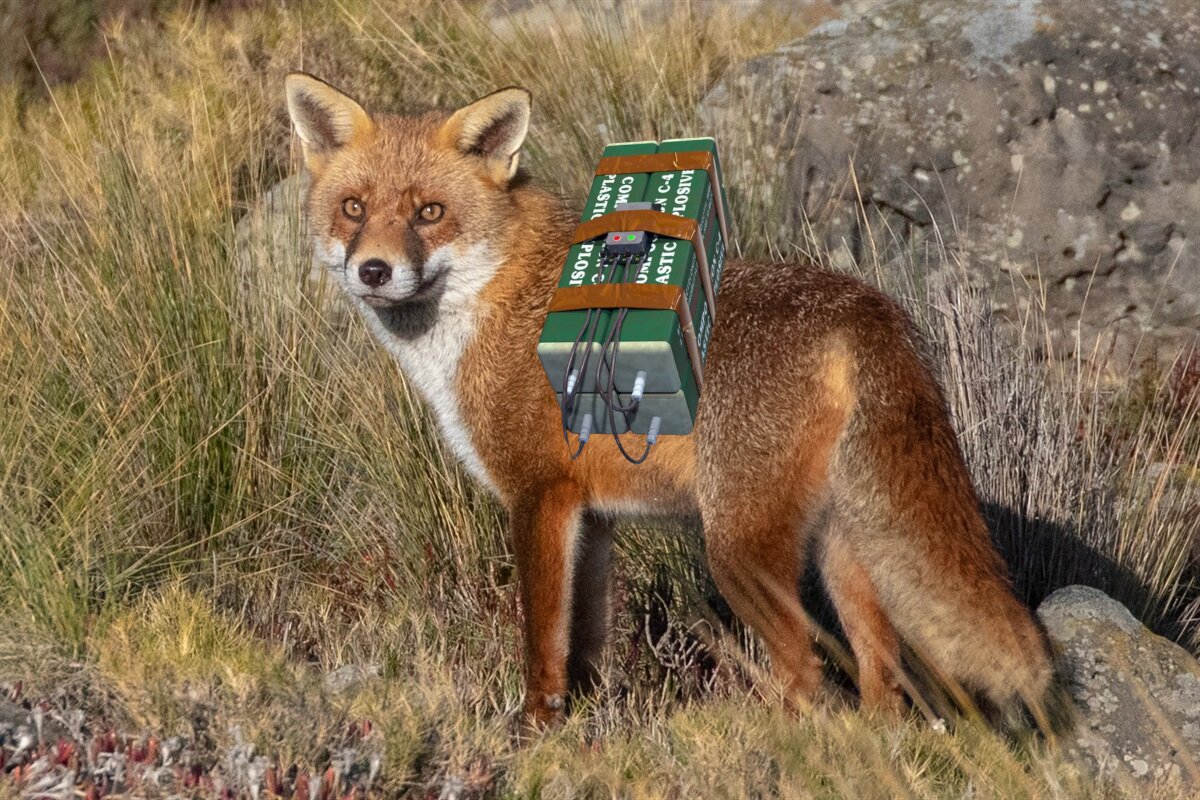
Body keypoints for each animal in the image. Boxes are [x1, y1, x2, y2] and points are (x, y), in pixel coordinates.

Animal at [283, 72, 1055, 728]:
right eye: (353, 208)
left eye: (430, 213)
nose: (373, 270)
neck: (496, 305)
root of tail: (865, 306)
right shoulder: (592, 518)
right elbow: (587, 645)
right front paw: (586, 730)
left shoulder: (538, 494)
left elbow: (542, 642)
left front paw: (535, 731)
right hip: (843, 551)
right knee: (880, 685)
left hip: (738, 552)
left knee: (807, 676)